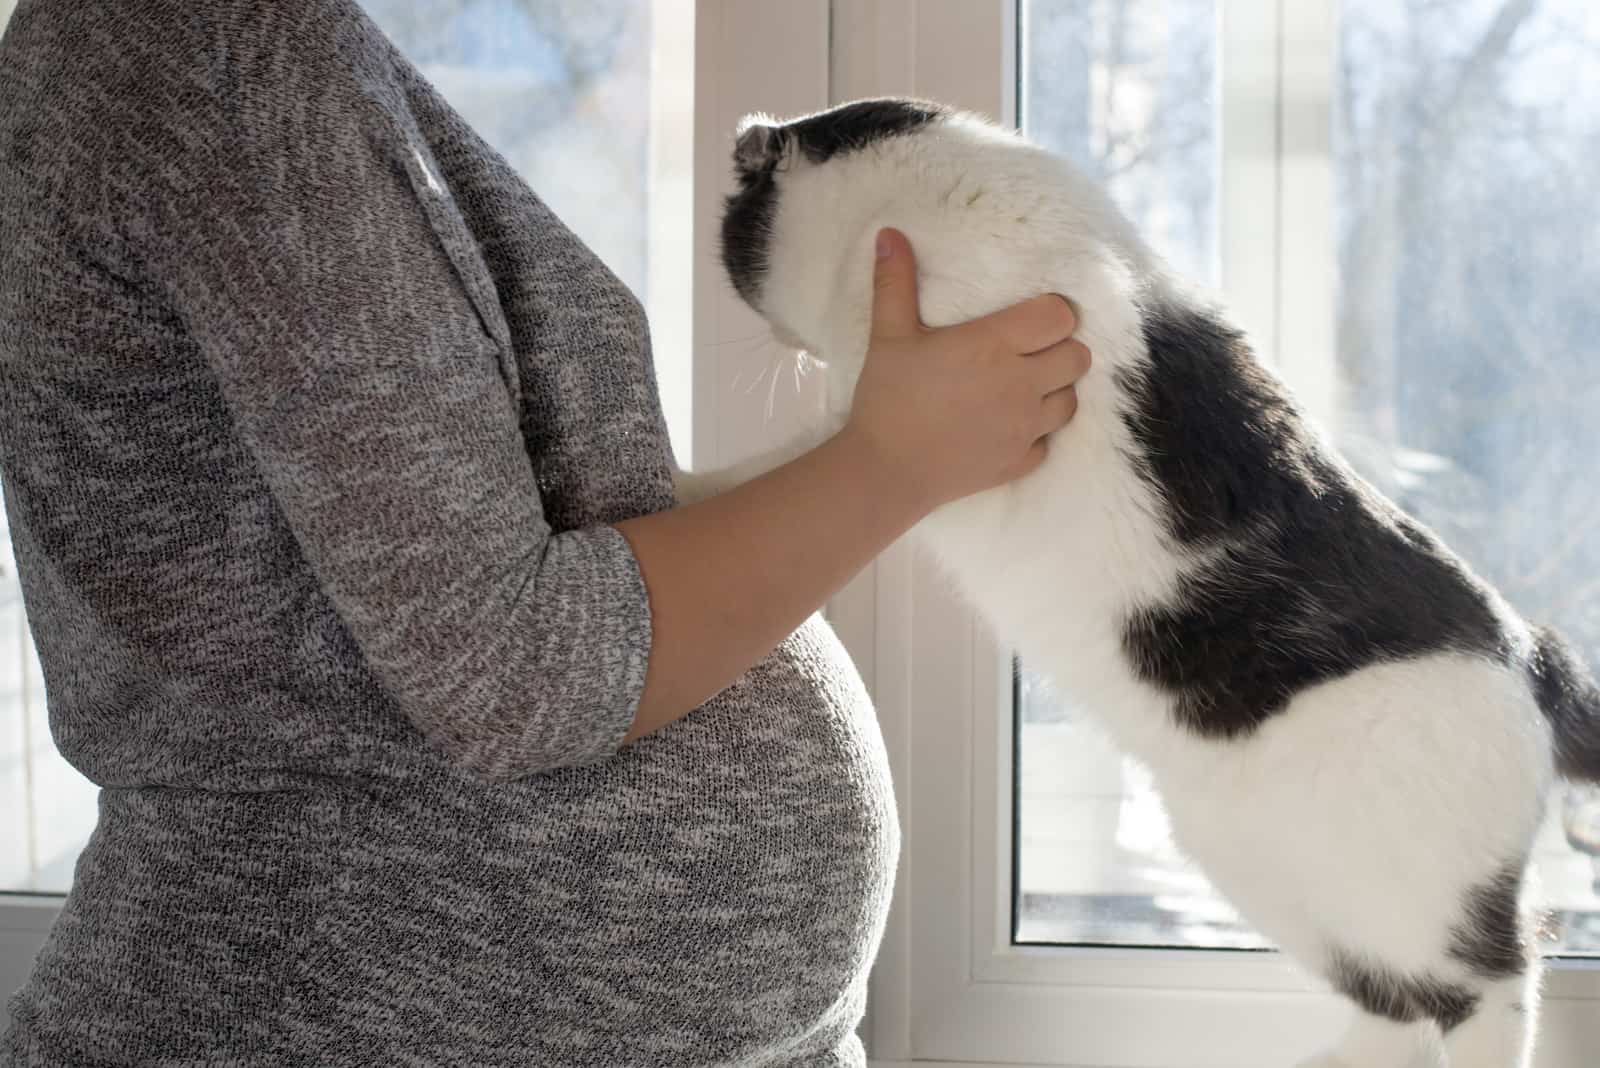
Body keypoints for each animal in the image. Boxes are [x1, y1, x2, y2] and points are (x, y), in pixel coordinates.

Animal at [684, 99, 1600, 1068]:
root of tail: (1533, 656)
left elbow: (793, 458)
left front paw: (681, 487)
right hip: (1266, 864)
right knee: (1394, 994)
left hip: (1407, 882)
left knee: (1494, 974)